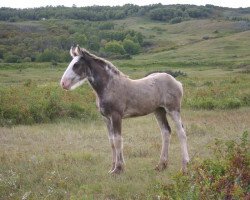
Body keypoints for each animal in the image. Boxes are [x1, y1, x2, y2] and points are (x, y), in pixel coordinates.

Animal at [60, 46, 189, 174]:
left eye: (76, 65)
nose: (63, 83)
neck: (109, 86)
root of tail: (177, 82)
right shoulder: (106, 118)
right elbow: (111, 141)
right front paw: (112, 167)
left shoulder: (116, 116)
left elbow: (118, 140)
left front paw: (118, 169)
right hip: (159, 111)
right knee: (166, 132)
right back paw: (161, 165)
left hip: (173, 109)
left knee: (181, 132)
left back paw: (184, 166)